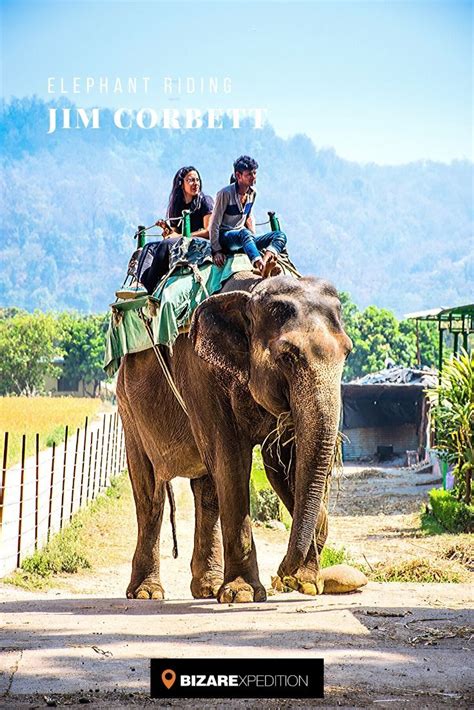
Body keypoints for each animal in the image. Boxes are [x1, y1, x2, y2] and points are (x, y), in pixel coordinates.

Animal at [117, 270, 352, 603]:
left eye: (347, 353)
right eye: (288, 356)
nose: (282, 573)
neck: (250, 292)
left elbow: (283, 466)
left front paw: (307, 583)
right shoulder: (202, 377)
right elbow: (231, 462)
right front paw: (244, 593)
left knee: (207, 492)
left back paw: (208, 588)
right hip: (128, 409)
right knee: (150, 493)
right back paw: (147, 593)